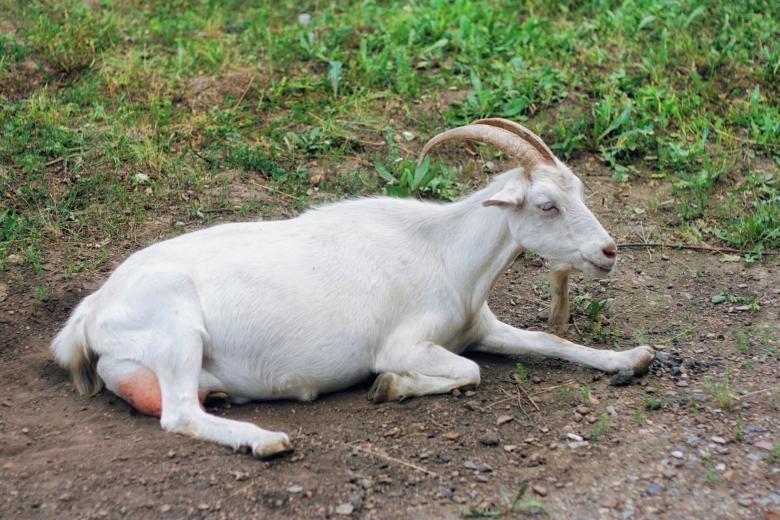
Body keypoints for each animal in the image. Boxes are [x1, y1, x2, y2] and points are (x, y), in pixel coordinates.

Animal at [51, 118, 655, 458]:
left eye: (578, 191)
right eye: (546, 205)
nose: (608, 251)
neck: (444, 252)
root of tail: (91, 311)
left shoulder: (480, 326)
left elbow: (551, 342)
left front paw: (632, 358)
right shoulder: (403, 343)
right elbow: (469, 372)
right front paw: (390, 386)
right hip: (177, 332)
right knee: (177, 414)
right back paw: (264, 440)